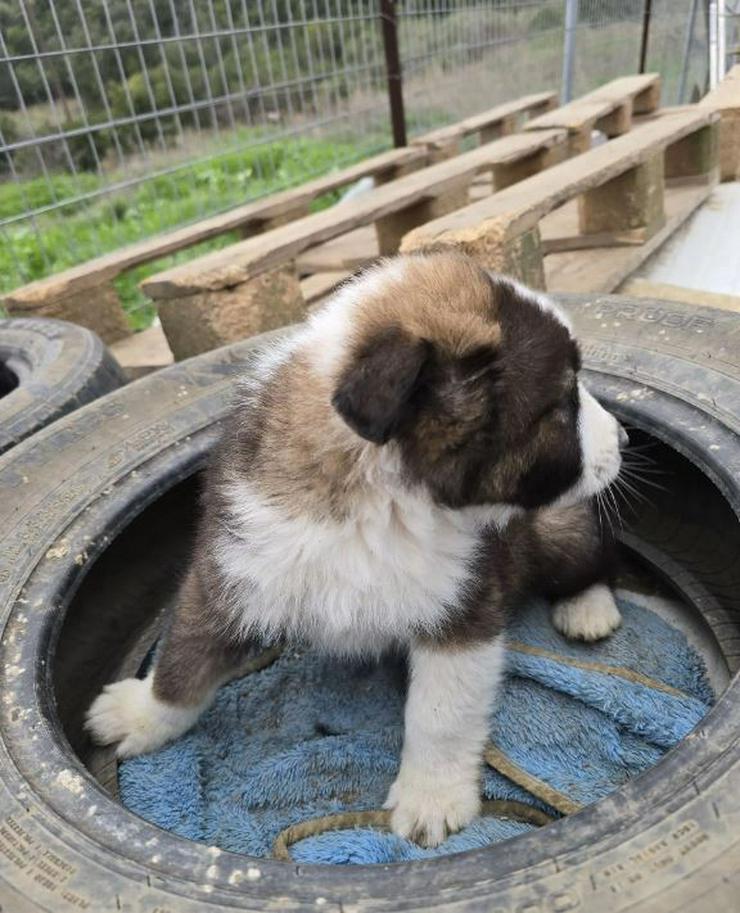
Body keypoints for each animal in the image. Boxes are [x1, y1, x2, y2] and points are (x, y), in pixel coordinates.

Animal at [89, 251, 628, 848]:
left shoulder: (462, 609)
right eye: (563, 402)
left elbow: (440, 714)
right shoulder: (230, 571)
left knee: (594, 555)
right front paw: (143, 714)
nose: (625, 439)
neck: (374, 497)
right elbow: (184, 660)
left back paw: (587, 608)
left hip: (554, 526)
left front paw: (431, 795)